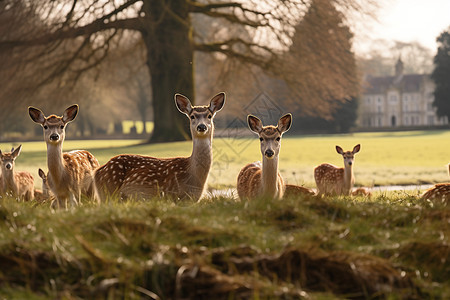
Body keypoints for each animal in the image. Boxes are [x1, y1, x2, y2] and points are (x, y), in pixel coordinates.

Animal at [95, 91, 229, 202]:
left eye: (209, 116)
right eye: (192, 116)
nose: (201, 127)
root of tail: (98, 171)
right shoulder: (171, 196)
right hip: (109, 193)